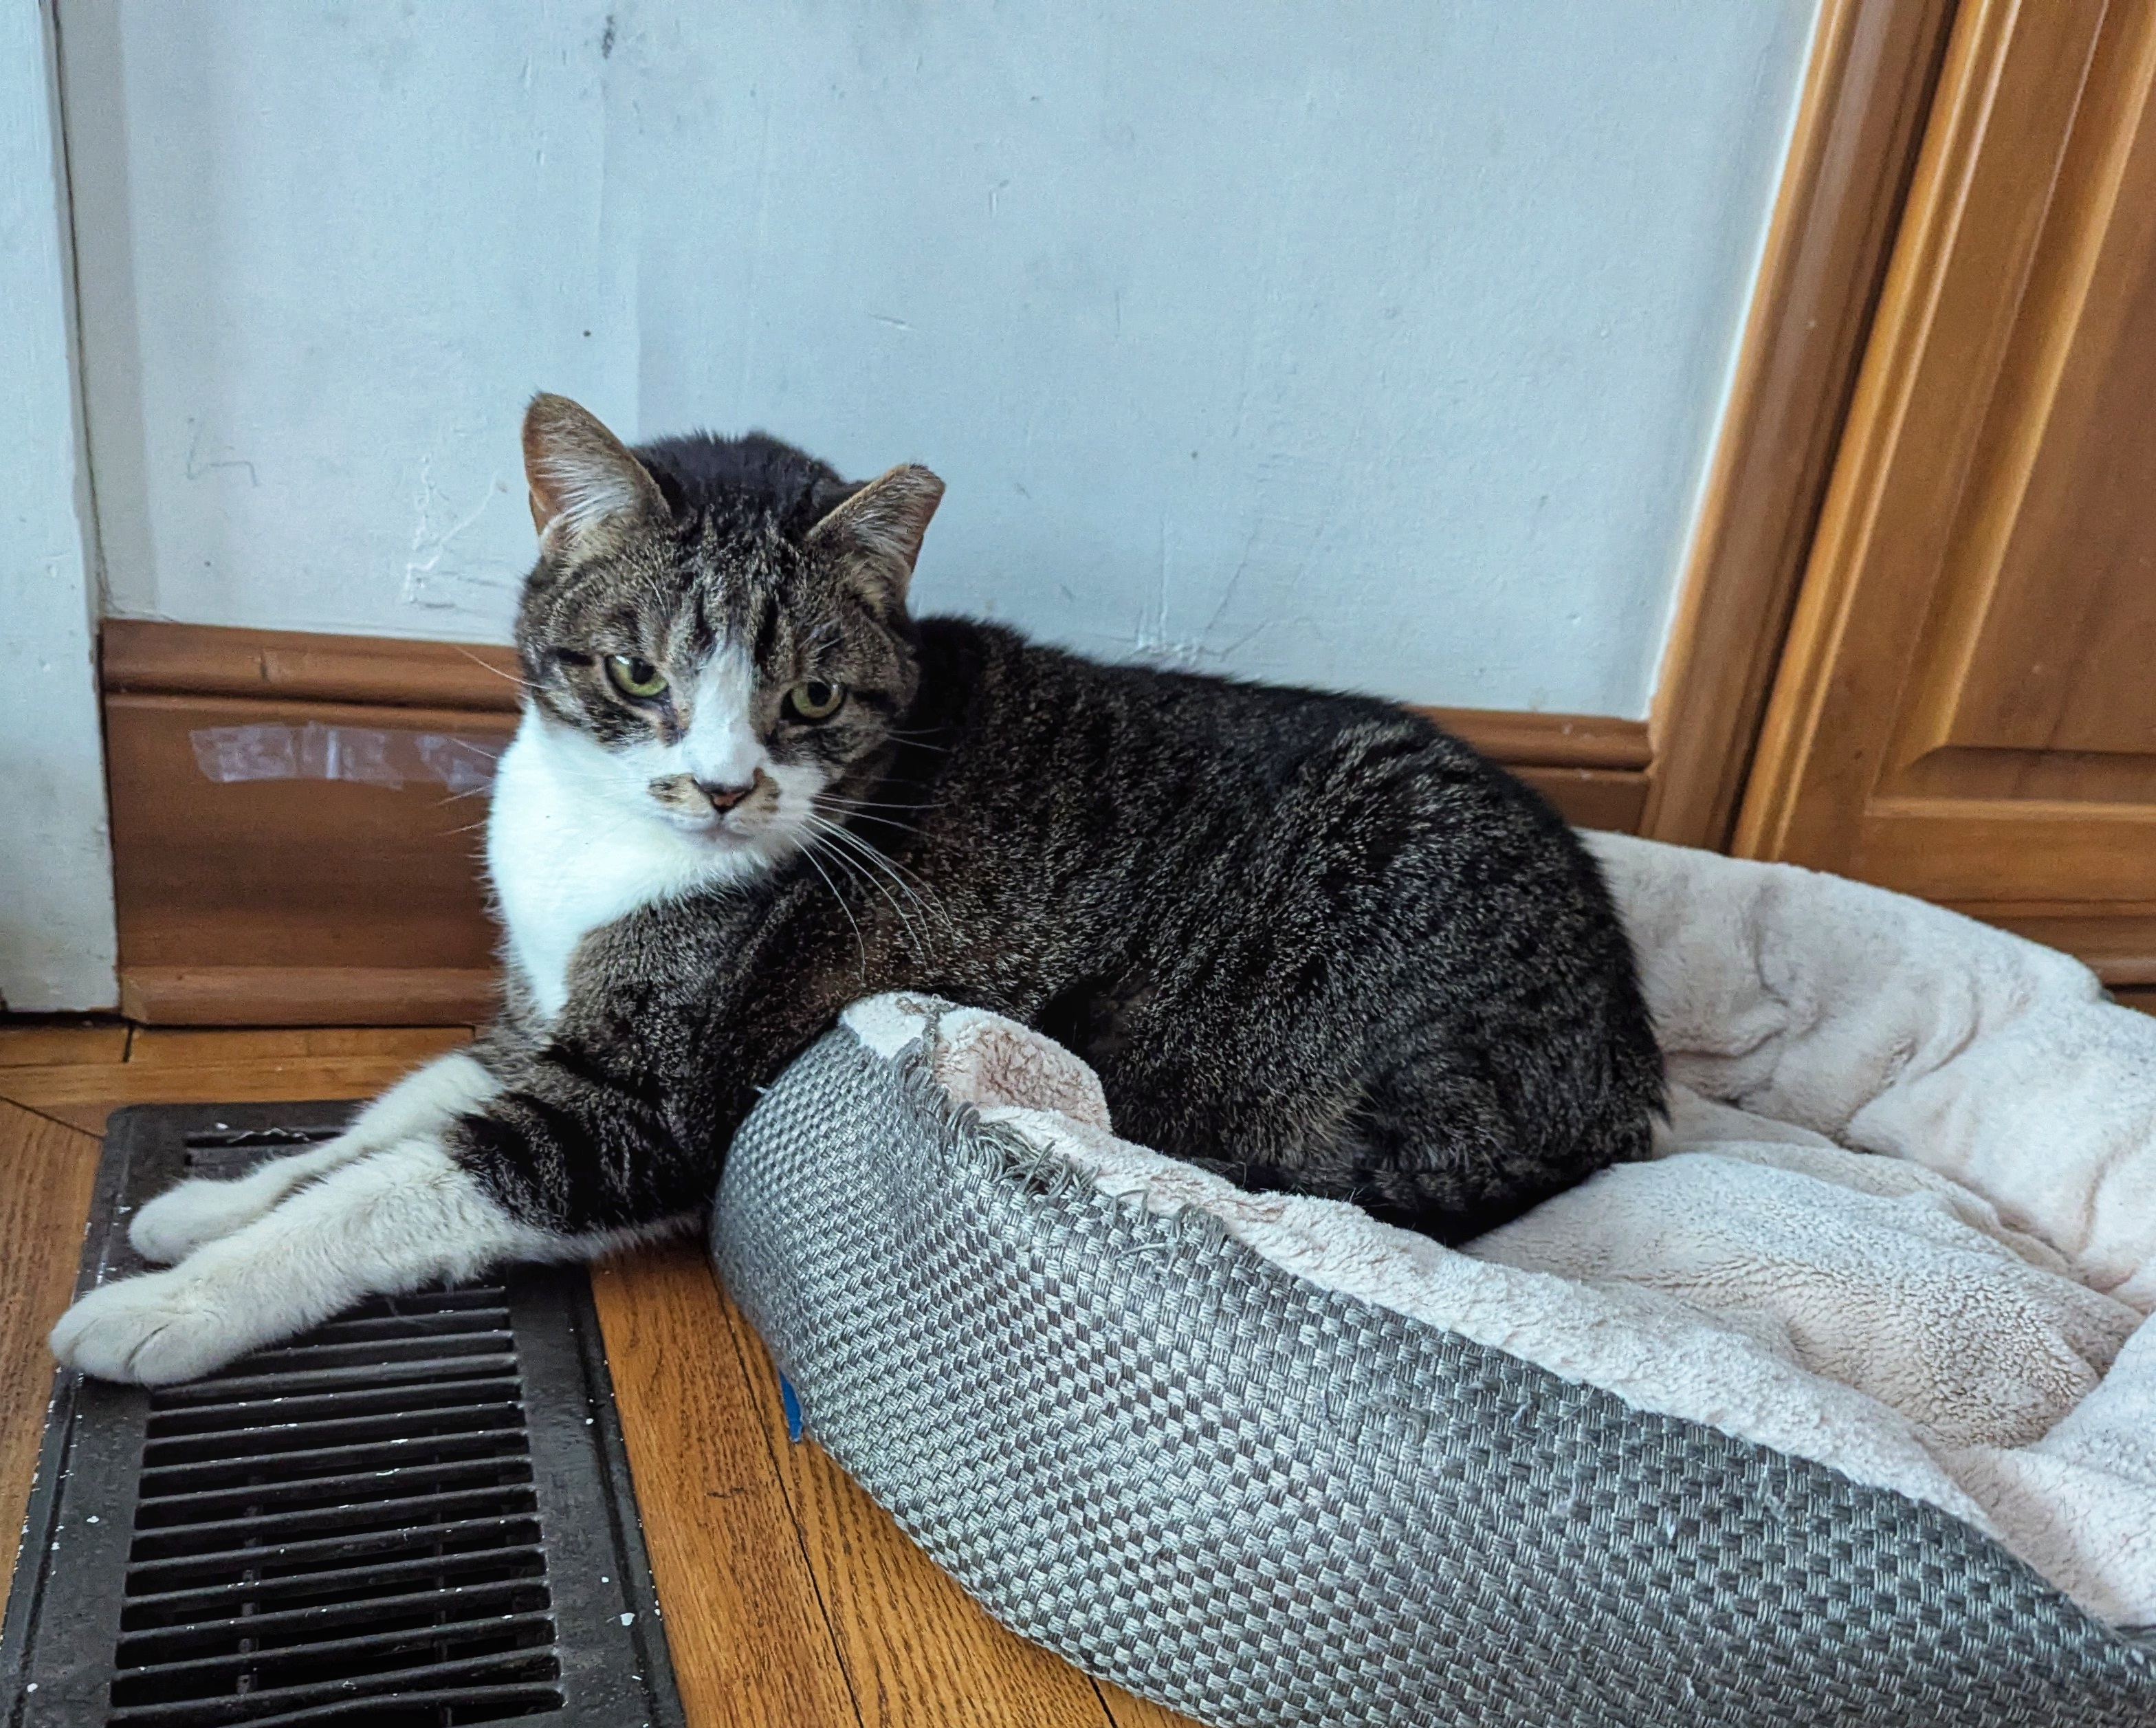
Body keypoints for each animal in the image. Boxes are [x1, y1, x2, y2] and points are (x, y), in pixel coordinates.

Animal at [50, 395, 1664, 1389]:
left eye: (811, 695)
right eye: (636, 670)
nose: (719, 787)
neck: (590, 846)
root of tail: (1622, 1057)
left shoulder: (634, 1112)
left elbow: (395, 1185)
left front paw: (164, 1302)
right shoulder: (530, 1023)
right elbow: (388, 1114)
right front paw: (210, 1204)